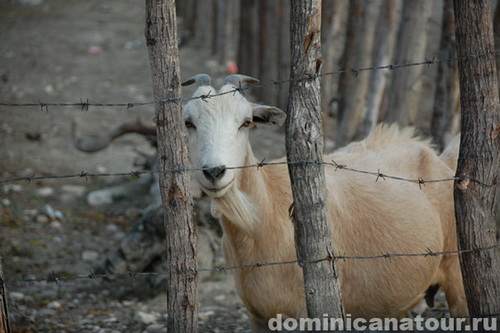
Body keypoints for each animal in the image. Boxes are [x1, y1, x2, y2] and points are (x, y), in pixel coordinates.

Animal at [183, 73, 468, 330]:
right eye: (189, 123)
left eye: (246, 122)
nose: (215, 172)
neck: (262, 221)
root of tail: (437, 156)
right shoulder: (258, 317)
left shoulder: (306, 313)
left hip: (456, 274)